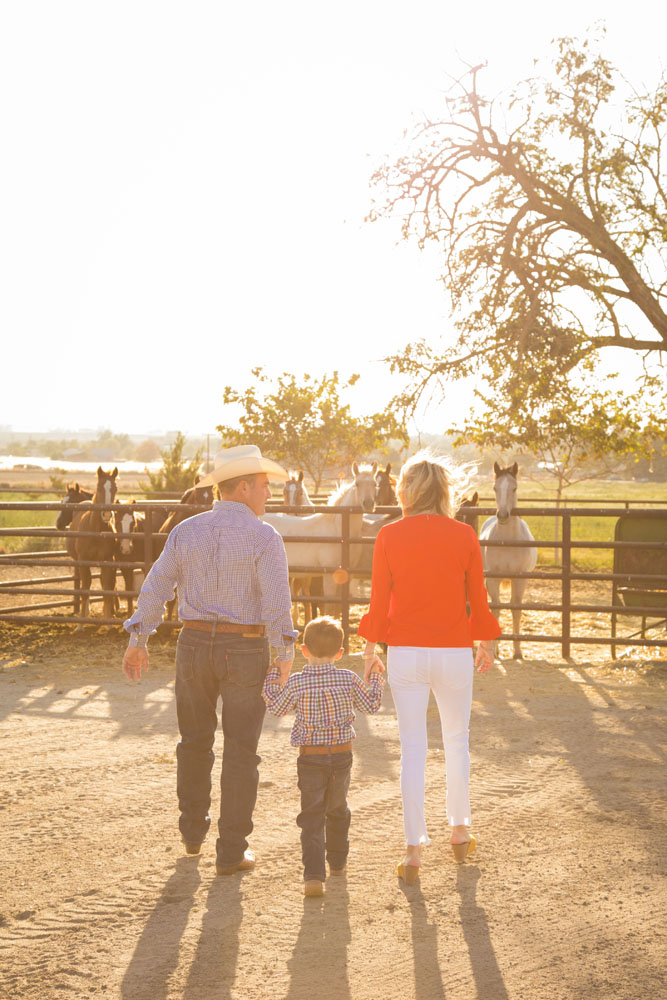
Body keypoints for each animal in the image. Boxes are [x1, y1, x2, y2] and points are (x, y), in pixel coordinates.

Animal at [67, 466, 118, 616]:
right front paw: (82, 619)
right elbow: (85, 590)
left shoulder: (107, 561)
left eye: (115, 488)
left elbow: (107, 590)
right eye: (99, 488)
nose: (106, 514)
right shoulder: (83, 561)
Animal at [264, 462, 378, 616]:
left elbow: (337, 609)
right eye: (357, 484)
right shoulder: (329, 576)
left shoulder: (347, 577)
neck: (338, 529)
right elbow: (329, 607)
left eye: (374, 484)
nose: (369, 504)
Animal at [480, 462, 536, 664]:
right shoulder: (492, 580)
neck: (507, 541)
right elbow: (496, 610)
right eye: (495, 488)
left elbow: (516, 610)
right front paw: (495, 651)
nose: (502, 515)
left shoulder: (519, 579)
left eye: (514, 488)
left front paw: (518, 651)